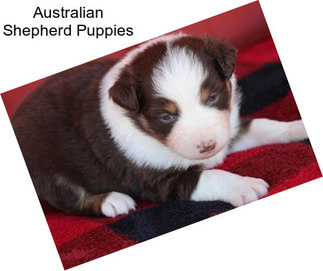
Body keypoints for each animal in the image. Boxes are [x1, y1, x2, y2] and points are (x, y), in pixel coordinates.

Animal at [11, 33, 308, 218]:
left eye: (212, 97)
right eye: (166, 117)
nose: (207, 146)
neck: (145, 129)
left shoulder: (228, 130)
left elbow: (263, 125)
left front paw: (297, 127)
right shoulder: (159, 180)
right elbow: (210, 176)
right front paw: (244, 186)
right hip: (46, 171)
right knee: (72, 200)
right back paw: (113, 201)